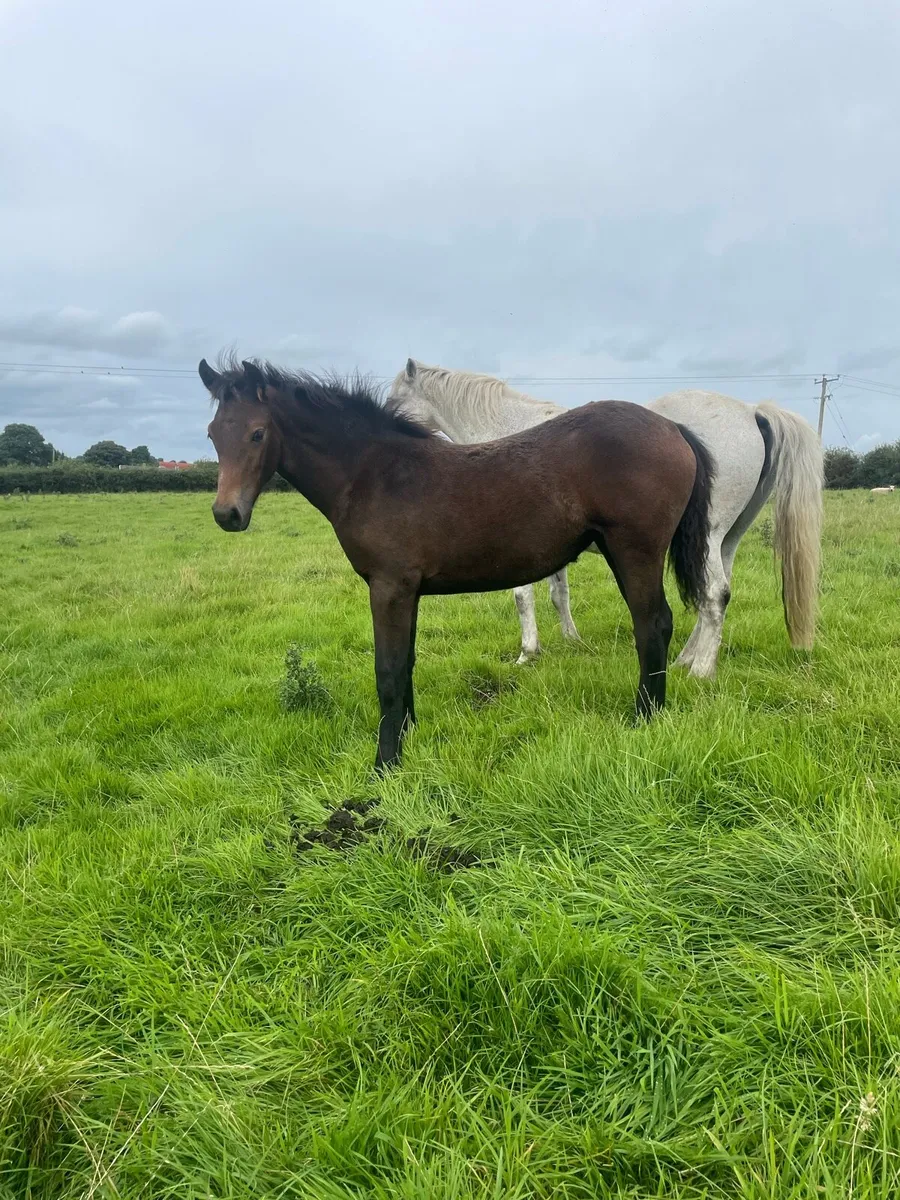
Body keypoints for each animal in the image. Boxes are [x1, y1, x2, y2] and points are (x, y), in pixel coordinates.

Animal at [200, 356, 714, 771]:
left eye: (257, 433)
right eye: (212, 434)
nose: (227, 515)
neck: (375, 473)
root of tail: (673, 428)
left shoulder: (388, 587)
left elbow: (388, 671)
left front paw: (385, 764)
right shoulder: (407, 591)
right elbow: (406, 662)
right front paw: (409, 735)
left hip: (634, 551)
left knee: (652, 624)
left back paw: (644, 718)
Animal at [388, 360, 823, 678]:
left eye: (393, 398)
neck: (506, 430)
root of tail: (752, 412)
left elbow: (522, 597)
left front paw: (528, 653)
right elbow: (558, 594)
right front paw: (572, 641)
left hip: (709, 537)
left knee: (715, 594)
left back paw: (699, 671)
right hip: (724, 539)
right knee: (713, 595)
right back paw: (687, 658)